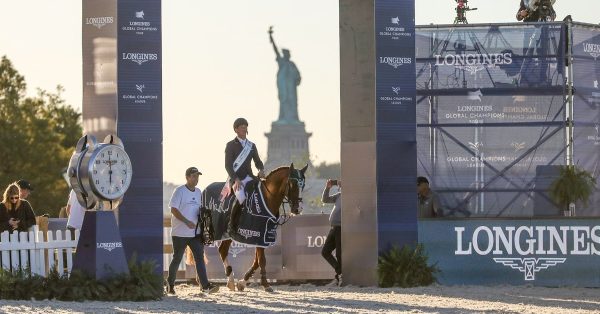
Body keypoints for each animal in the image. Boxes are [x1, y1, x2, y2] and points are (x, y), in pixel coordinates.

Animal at [203, 164, 308, 292]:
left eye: (303, 185)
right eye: (292, 184)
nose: (298, 209)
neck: (267, 199)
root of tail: (205, 189)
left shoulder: (263, 237)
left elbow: (257, 261)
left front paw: (242, 282)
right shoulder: (258, 234)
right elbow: (262, 260)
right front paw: (266, 284)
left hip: (226, 235)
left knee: (222, 250)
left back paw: (230, 281)